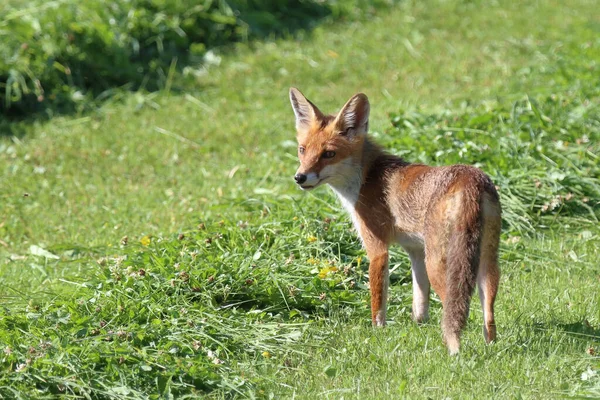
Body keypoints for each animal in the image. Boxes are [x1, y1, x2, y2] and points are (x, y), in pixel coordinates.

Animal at [288, 88, 500, 354]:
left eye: (329, 154)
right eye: (302, 150)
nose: (300, 177)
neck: (364, 178)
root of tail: (471, 178)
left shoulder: (378, 248)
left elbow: (378, 302)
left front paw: (377, 333)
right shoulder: (415, 250)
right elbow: (420, 303)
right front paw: (419, 327)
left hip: (440, 264)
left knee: (455, 310)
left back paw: (454, 352)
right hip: (487, 262)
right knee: (488, 315)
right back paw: (491, 347)